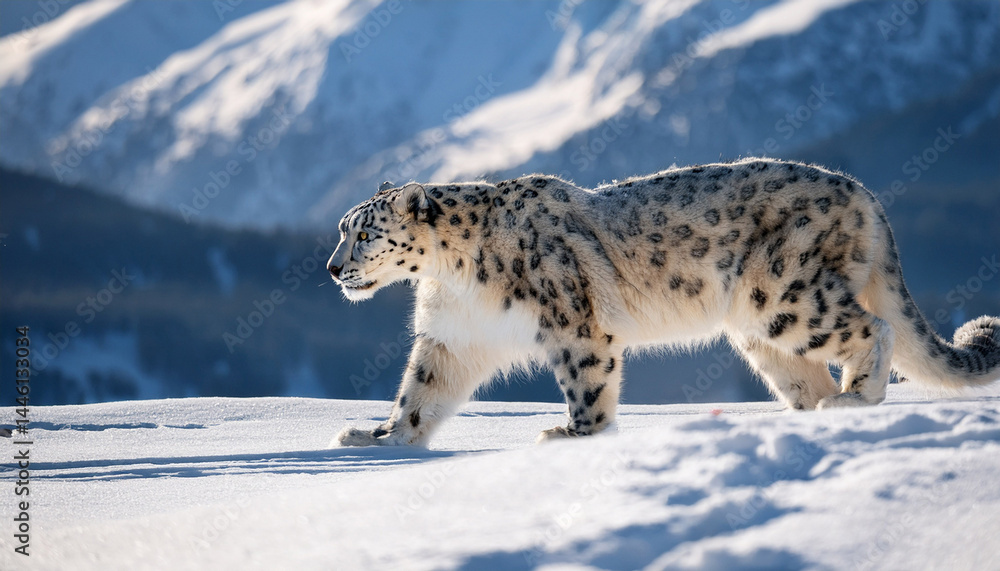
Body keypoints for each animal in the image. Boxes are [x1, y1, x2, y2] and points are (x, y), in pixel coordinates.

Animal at [327, 157, 1000, 446]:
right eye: (341, 228)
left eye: (365, 233)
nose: (333, 269)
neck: (453, 277)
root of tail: (863, 192)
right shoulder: (453, 336)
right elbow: (421, 392)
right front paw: (380, 437)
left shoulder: (572, 326)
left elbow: (586, 382)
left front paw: (574, 435)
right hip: (760, 327)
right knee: (808, 373)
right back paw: (814, 411)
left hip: (785, 295)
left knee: (875, 327)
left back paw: (855, 399)